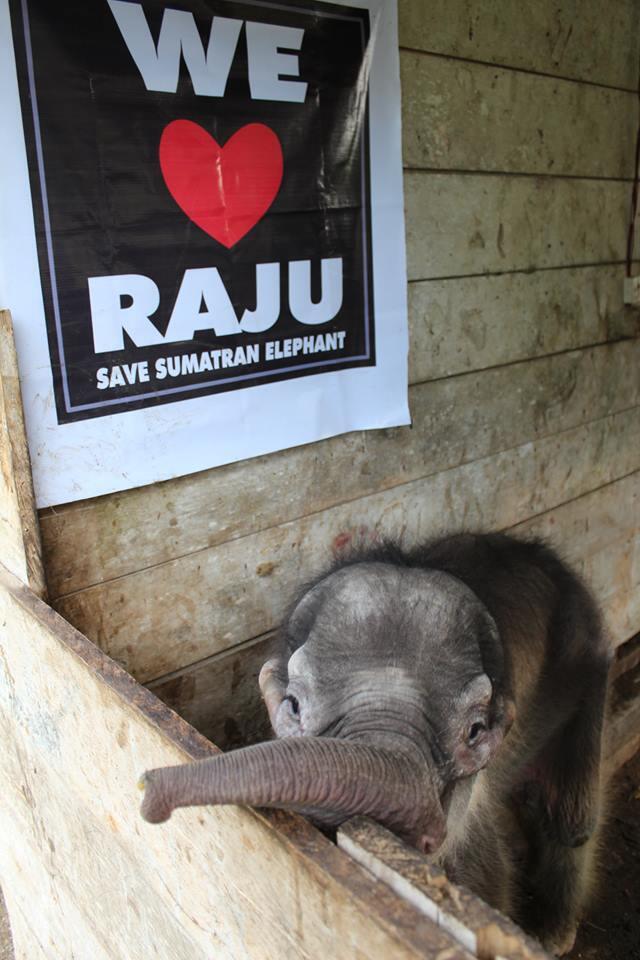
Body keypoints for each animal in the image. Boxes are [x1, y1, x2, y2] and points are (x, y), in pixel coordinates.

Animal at [142, 532, 612, 952]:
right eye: (293, 705)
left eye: (475, 731)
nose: (148, 789)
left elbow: (487, 878)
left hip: (590, 666)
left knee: (570, 819)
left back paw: (554, 936)